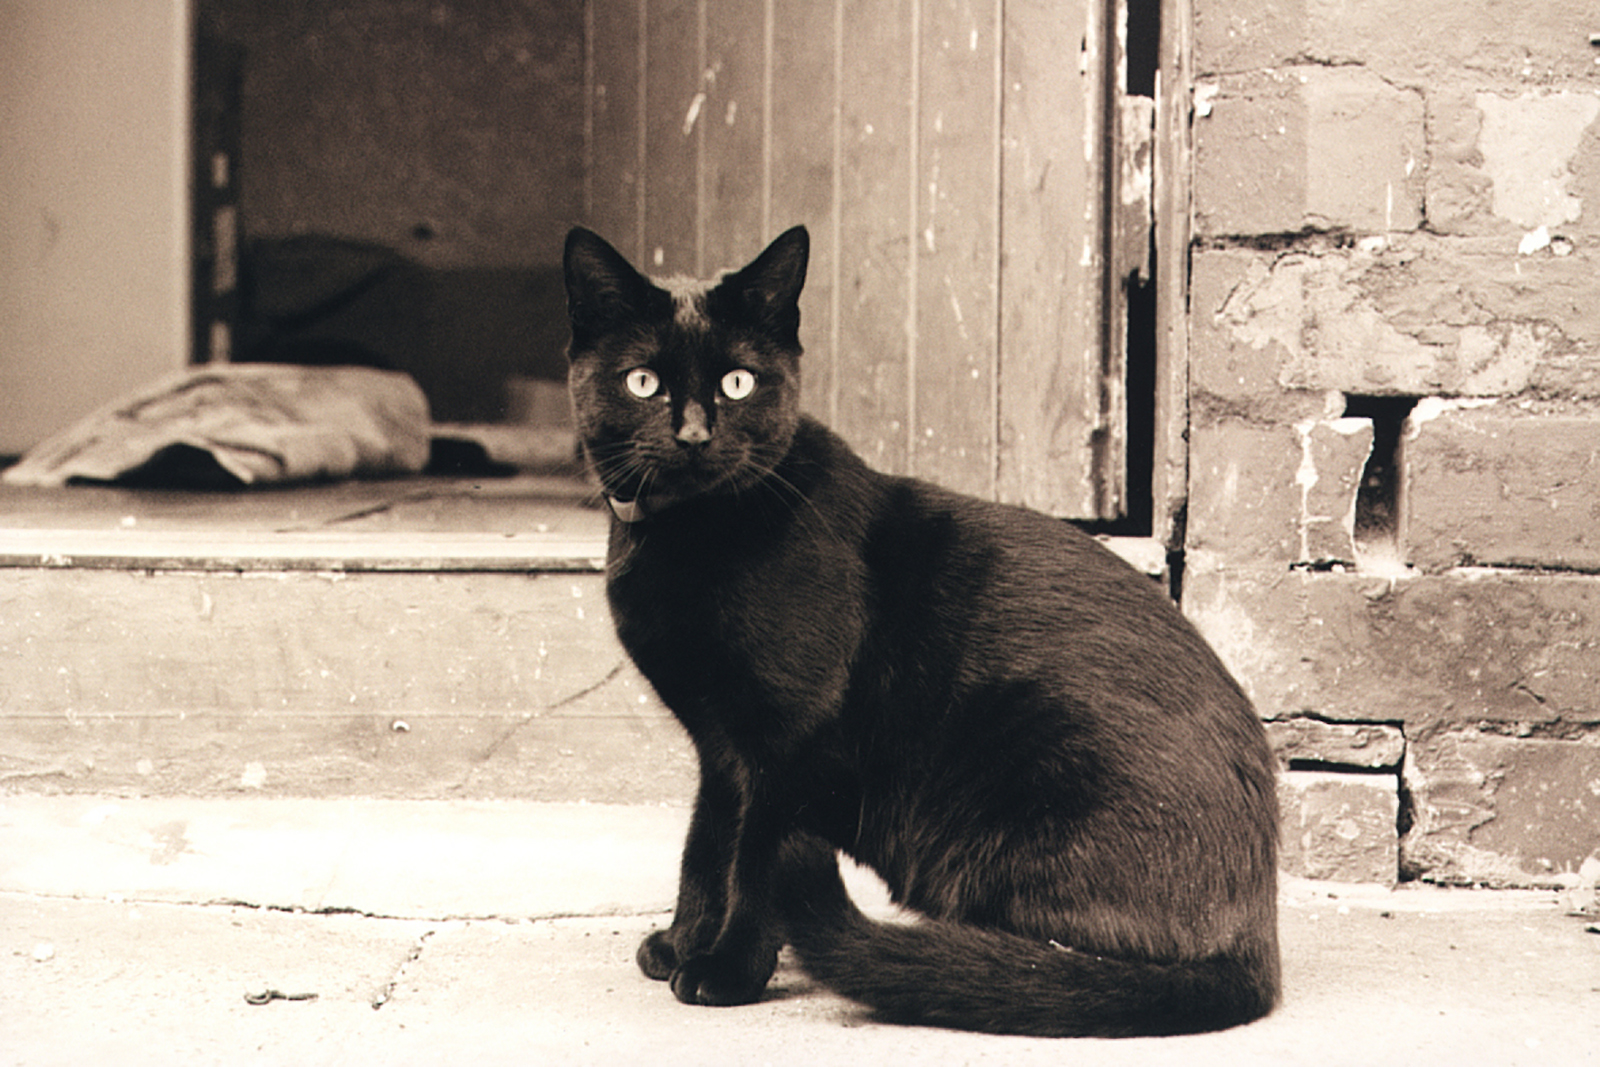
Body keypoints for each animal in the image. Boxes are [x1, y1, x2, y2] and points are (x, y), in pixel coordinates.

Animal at [563, 223, 1273, 1036]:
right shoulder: (720, 744)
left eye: (737, 383)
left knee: (1042, 964)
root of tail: (1256, 940)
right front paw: (683, 941)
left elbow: (753, 855)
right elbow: (704, 845)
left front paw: (727, 966)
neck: (686, 536)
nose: (691, 435)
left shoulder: (784, 735)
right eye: (642, 382)